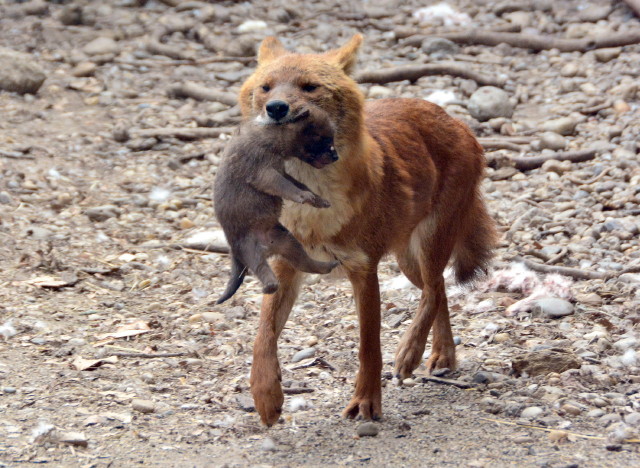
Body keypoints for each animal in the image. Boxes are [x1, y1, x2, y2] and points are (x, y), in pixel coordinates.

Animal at [214, 106, 340, 304]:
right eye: (324, 138)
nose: (336, 156)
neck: (272, 137)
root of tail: (268, 247)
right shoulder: (265, 173)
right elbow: (288, 187)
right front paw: (305, 197)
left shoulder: (281, 171)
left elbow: (298, 184)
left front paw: (317, 199)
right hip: (250, 249)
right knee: (261, 269)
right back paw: (270, 286)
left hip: (287, 240)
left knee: (304, 263)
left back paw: (326, 265)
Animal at [235, 34, 496, 426]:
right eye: (265, 88)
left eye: (309, 87)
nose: (276, 108)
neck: (311, 204)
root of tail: (455, 121)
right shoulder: (285, 267)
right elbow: (262, 337)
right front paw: (266, 396)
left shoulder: (363, 269)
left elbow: (369, 346)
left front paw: (366, 402)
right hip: (407, 260)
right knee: (439, 290)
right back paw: (442, 354)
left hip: (428, 242)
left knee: (434, 289)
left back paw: (410, 353)